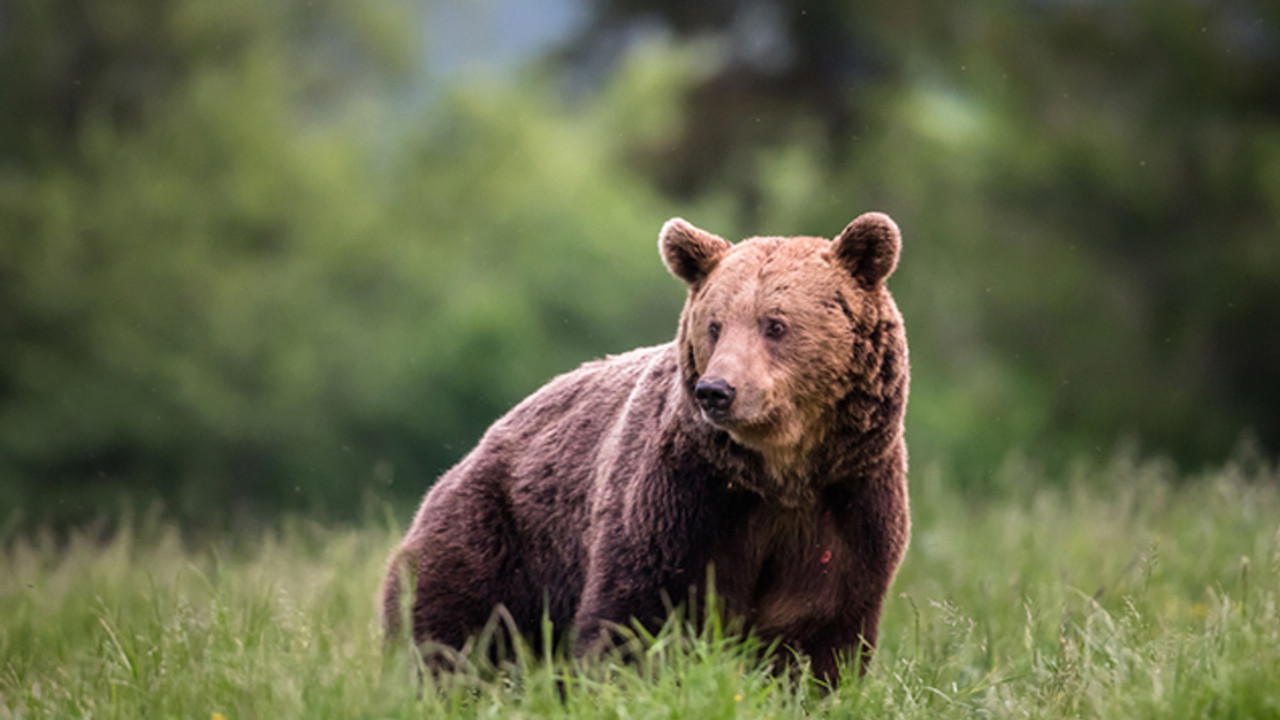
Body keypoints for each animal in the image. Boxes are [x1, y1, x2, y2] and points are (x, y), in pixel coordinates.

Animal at [378, 210, 911, 681]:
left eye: (775, 324)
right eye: (715, 325)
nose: (716, 390)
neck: (779, 474)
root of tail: (470, 454)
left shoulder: (845, 508)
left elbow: (817, 636)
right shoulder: (682, 501)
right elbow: (636, 615)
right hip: (498, 538)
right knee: (452, 635)